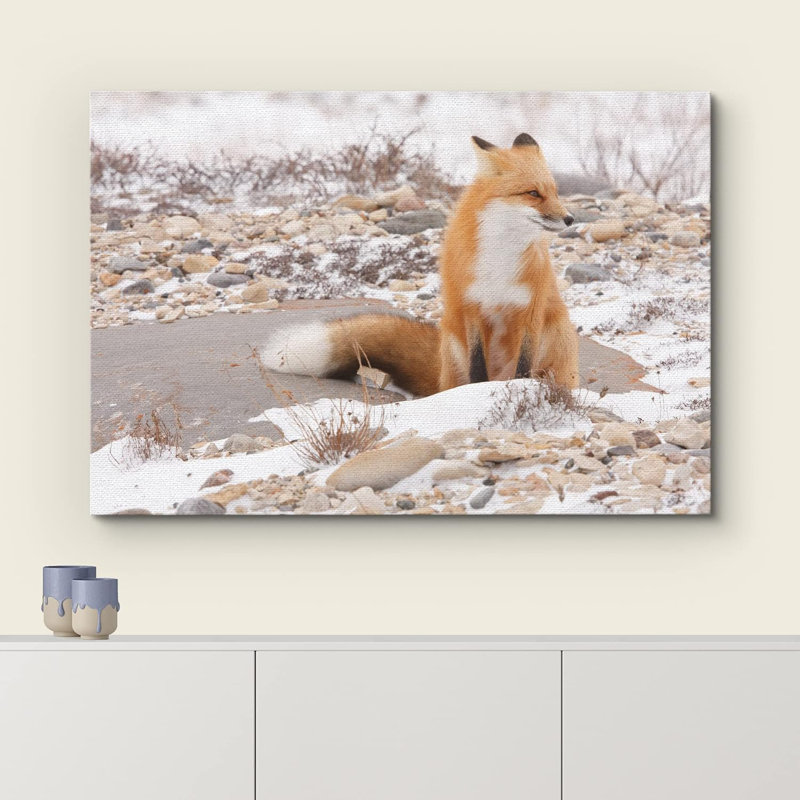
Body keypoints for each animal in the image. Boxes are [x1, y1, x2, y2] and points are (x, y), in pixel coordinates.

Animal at [260, 133, 579, 396]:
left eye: (554, 192)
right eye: (533, 193)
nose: (570, 219)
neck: (501, 260)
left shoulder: (531, 309)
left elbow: (524, 365)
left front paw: (520, 389)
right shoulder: (470, 306)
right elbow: (477, 367)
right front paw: (477, 393)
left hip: (557, 333)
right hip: (453, 341)